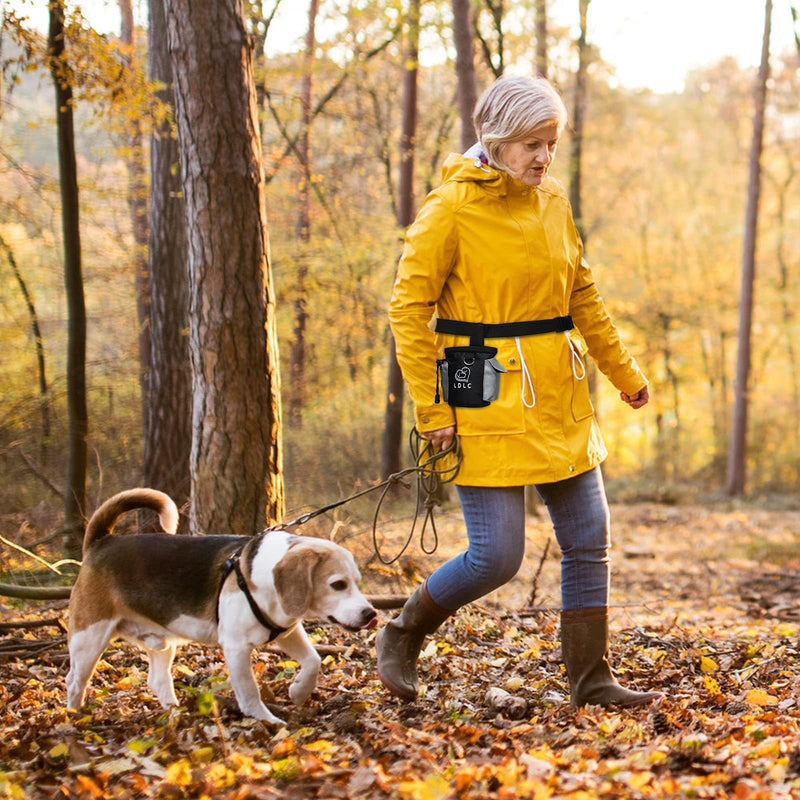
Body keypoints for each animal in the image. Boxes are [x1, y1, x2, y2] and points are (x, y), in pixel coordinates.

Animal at [67, 488, 376, 724]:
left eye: (357, 582)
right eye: (338, 584)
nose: (371, 614)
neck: (259, 576)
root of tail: (102, 541)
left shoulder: (286, 630)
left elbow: (313, 660)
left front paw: (299, 692)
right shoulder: (236, 647)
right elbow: (249, 691)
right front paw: (266, 721)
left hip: (160, 642)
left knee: (157, 680)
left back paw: (174, 713)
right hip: (89, 637)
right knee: (74, 680)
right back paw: (74, 716)